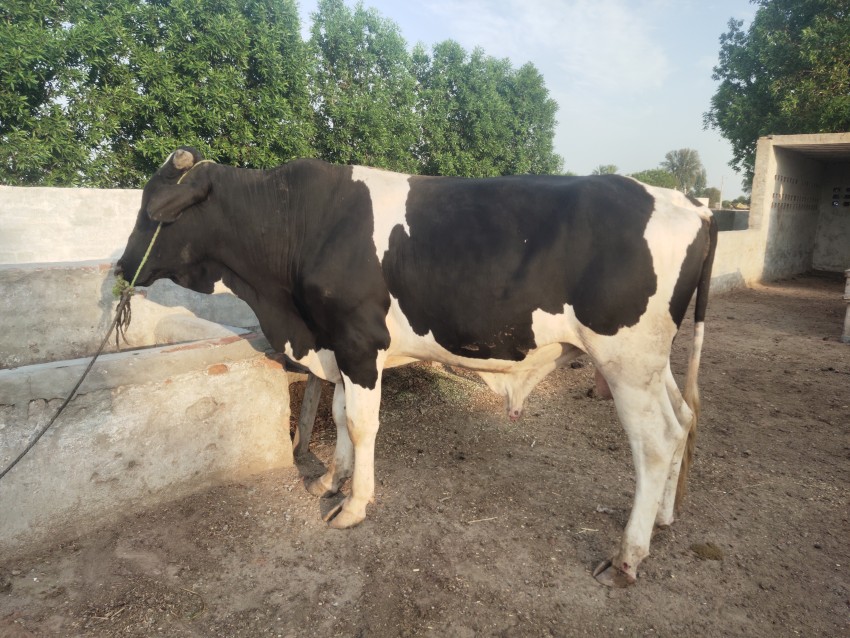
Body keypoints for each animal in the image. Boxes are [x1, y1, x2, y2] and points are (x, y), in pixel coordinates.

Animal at [116, 147, 717, 587]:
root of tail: (690, 202)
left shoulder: (359, 341)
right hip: (651, 363)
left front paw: (354, 505)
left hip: (626, 359)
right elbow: (339, 414)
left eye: (154, 211)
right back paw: (664, 518)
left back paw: (628, 555)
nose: (123, 267)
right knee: (684, 418)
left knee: (657, 441)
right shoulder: (339, 344)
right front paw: (332, 480)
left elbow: (361, 423)